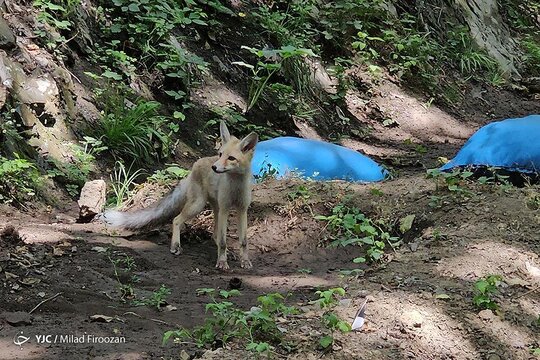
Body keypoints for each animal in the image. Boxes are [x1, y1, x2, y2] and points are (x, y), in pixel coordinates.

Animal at [104, 121, 260, 270]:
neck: (236, 187)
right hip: (198, 205)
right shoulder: (225, 208)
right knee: (177, 220)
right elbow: (223, 242)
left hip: (215, 209)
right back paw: (176, 246)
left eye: (231, 158)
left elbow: (243, 241)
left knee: (215, 234)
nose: (214, 167)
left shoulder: (242, 209)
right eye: (221, 154)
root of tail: (193, 168)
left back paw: (229, 253)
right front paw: (222, 262)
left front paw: (245, 261)